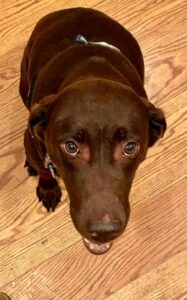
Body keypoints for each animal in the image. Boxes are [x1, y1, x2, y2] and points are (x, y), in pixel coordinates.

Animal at [20, 7, 167, 253]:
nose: (103, 231)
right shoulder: (31, 140)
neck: (92, 72)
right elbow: (44, 170)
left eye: (130, 147)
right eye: (71, 146)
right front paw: (48, 187)